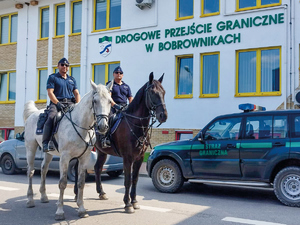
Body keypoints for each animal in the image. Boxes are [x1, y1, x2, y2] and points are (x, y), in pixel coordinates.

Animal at [23, 80, 112, 220]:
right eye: (95, 101)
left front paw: (81, 209)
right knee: (30, 172)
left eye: (109, 101)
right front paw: (60, 212)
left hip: (48, 153)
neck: (80, 125)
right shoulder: (65, 158)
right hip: (30, 149)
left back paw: (43, 196)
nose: (103, 126)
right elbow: (63, 183)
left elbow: (81, 182)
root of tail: (33, 114)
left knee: (43, 169)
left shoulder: (84, 158)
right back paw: (30, 200)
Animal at [73, 72, 166, 213]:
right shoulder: (127, 158)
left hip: (101, 152)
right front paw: (127, 204)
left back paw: (101, 193)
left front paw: (134, 201)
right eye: (152, 92)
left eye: (164, 92)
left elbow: (135, 179)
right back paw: (76, 193)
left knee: (97, 168)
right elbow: (127, 180)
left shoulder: (139, 158)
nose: (163, 116)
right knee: (76, 168)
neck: (135, 125)